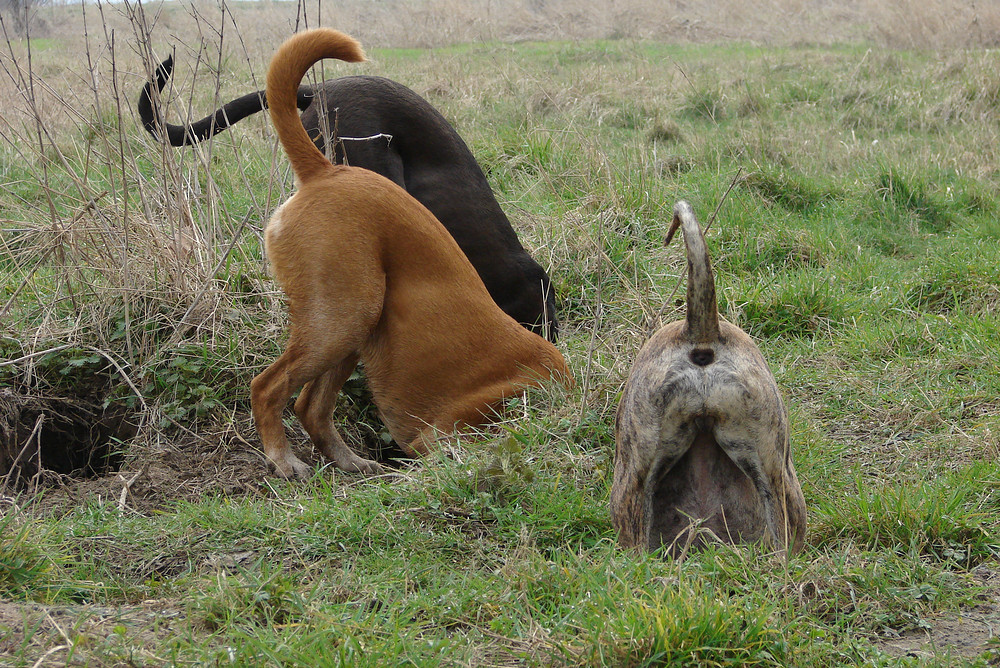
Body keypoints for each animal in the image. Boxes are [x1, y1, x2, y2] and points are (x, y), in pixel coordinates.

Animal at [250, 30, 572, 480]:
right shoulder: (443, 436)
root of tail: (326, 171)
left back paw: (349, 460)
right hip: (343, 317)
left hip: (354, 325)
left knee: (310, 407)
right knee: (267, 388)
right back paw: (283, 459)